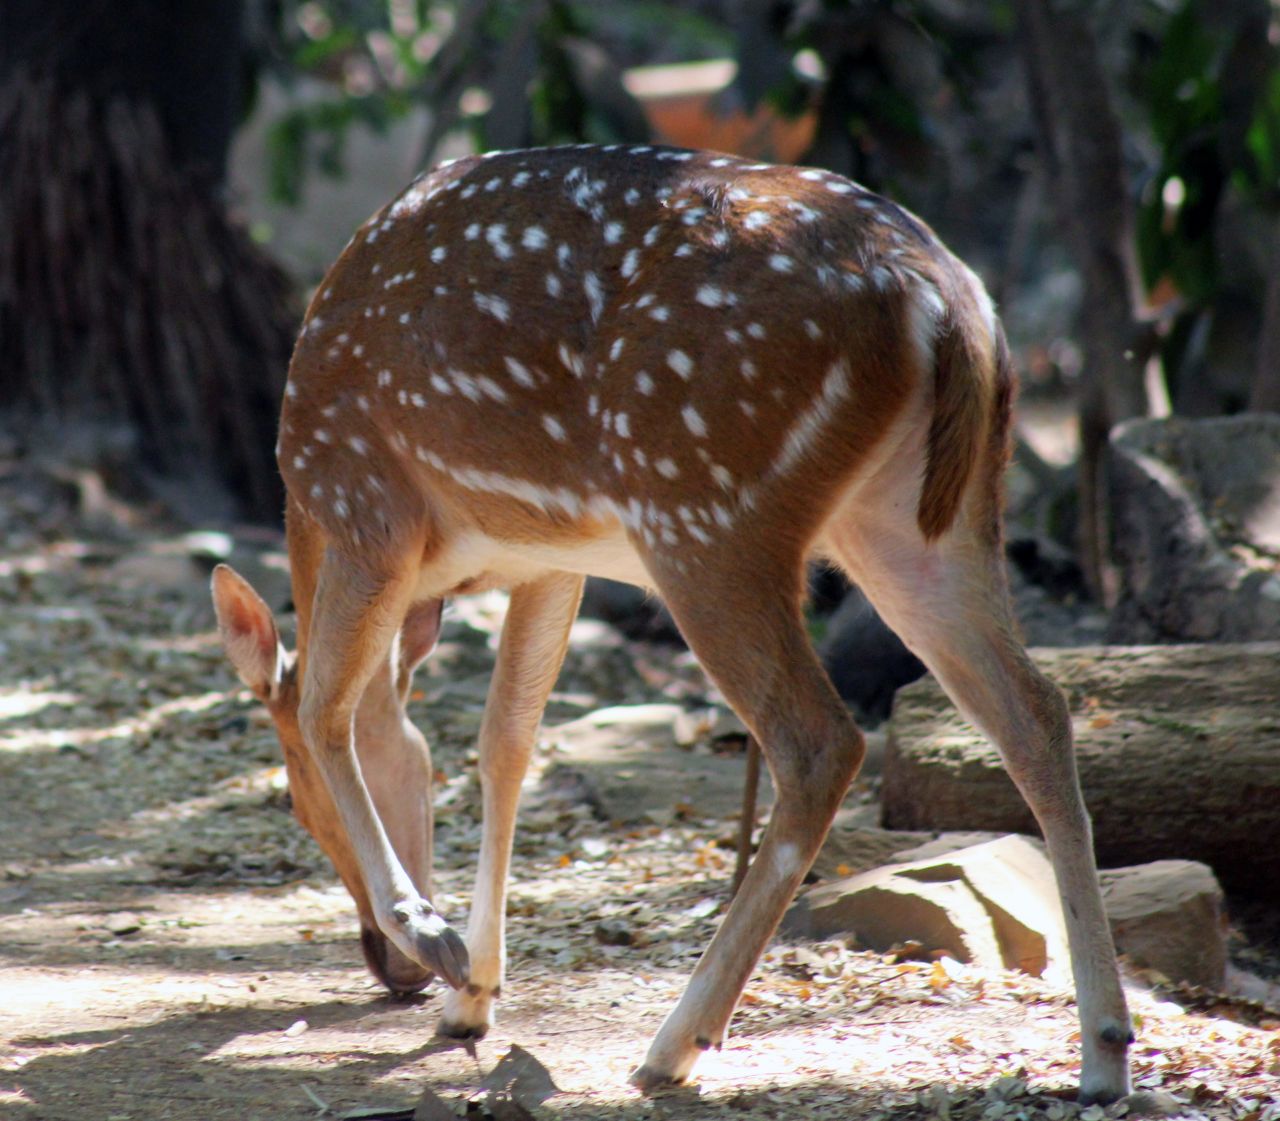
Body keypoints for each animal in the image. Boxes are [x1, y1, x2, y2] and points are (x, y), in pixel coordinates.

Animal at [215, 142, 1136, 1105]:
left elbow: (326, 709)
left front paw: (434, 937)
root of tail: (947, 306)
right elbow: (505, 743)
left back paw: (673, 1043)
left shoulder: (365, 510)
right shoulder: (549, 558)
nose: (385, 968)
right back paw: (1104, 1050)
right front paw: (471, 996)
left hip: (706, 511)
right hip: (925, 521)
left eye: (297, 799)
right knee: (1035, 711)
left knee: (820, 740)